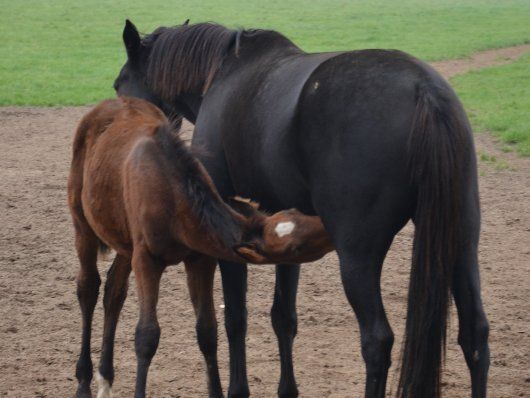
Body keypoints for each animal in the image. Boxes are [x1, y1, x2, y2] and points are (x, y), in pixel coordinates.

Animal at [66, 97, 330, 398]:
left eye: (296, 214)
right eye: (296, 247)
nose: (328, 225)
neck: (172, 196)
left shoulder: (199, 260)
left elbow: (207, 331)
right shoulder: (147, 260)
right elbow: (147, 335)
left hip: (123, 241)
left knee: (114, 292)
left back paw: (105, 379)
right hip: (83, 225)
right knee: (88, 288)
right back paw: (84, 381)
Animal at [113, 20, 488, 396]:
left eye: (119, 85)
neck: (223, 73)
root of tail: (423, 89)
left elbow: (236, 318)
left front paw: (238, 389)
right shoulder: (284, 234)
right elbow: (283, 318)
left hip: (358, 255)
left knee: (377, 341)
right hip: (461, 243)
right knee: (475, 336)